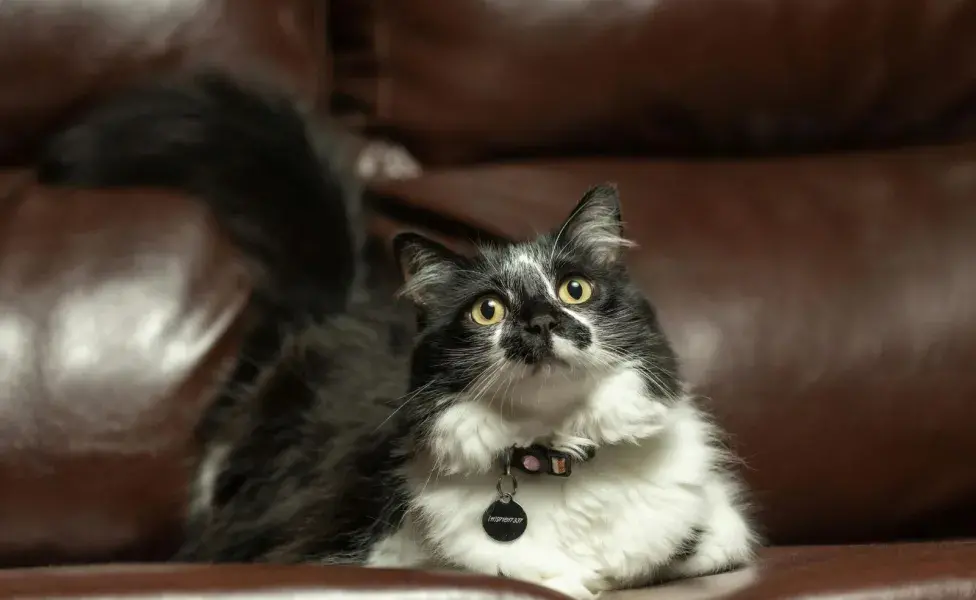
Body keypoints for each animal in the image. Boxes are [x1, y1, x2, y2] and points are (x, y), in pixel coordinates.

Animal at [36, 69, 756, 596]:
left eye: (574, 290)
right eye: (487, 311)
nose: (540, 319)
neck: (554, 455)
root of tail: (344, 303)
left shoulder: (720, 533)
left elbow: (677, 556)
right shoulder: (347, 552)